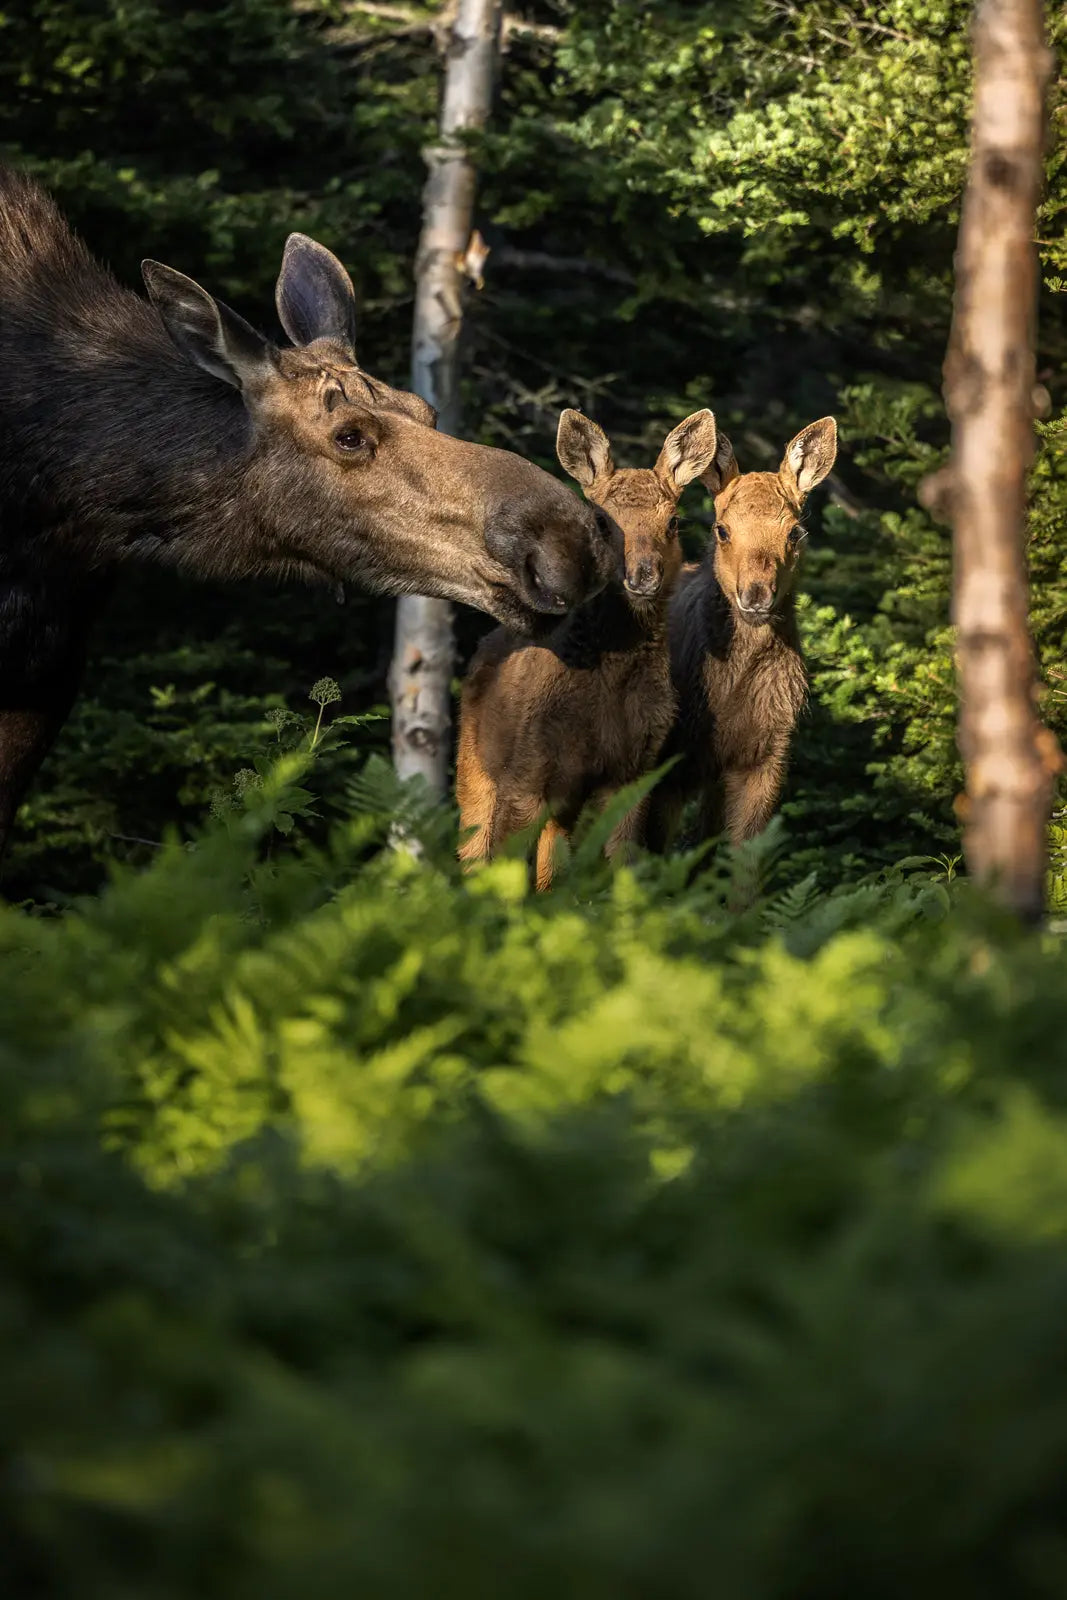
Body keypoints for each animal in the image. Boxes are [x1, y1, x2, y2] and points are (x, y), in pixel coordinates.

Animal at [456, 407, 721, 889]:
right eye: (601, 519)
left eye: (672, 521)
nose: (642, 574)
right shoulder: (525, 773)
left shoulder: (634, 772)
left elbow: (619, 870)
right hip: (475, 769)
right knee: (471, 854)